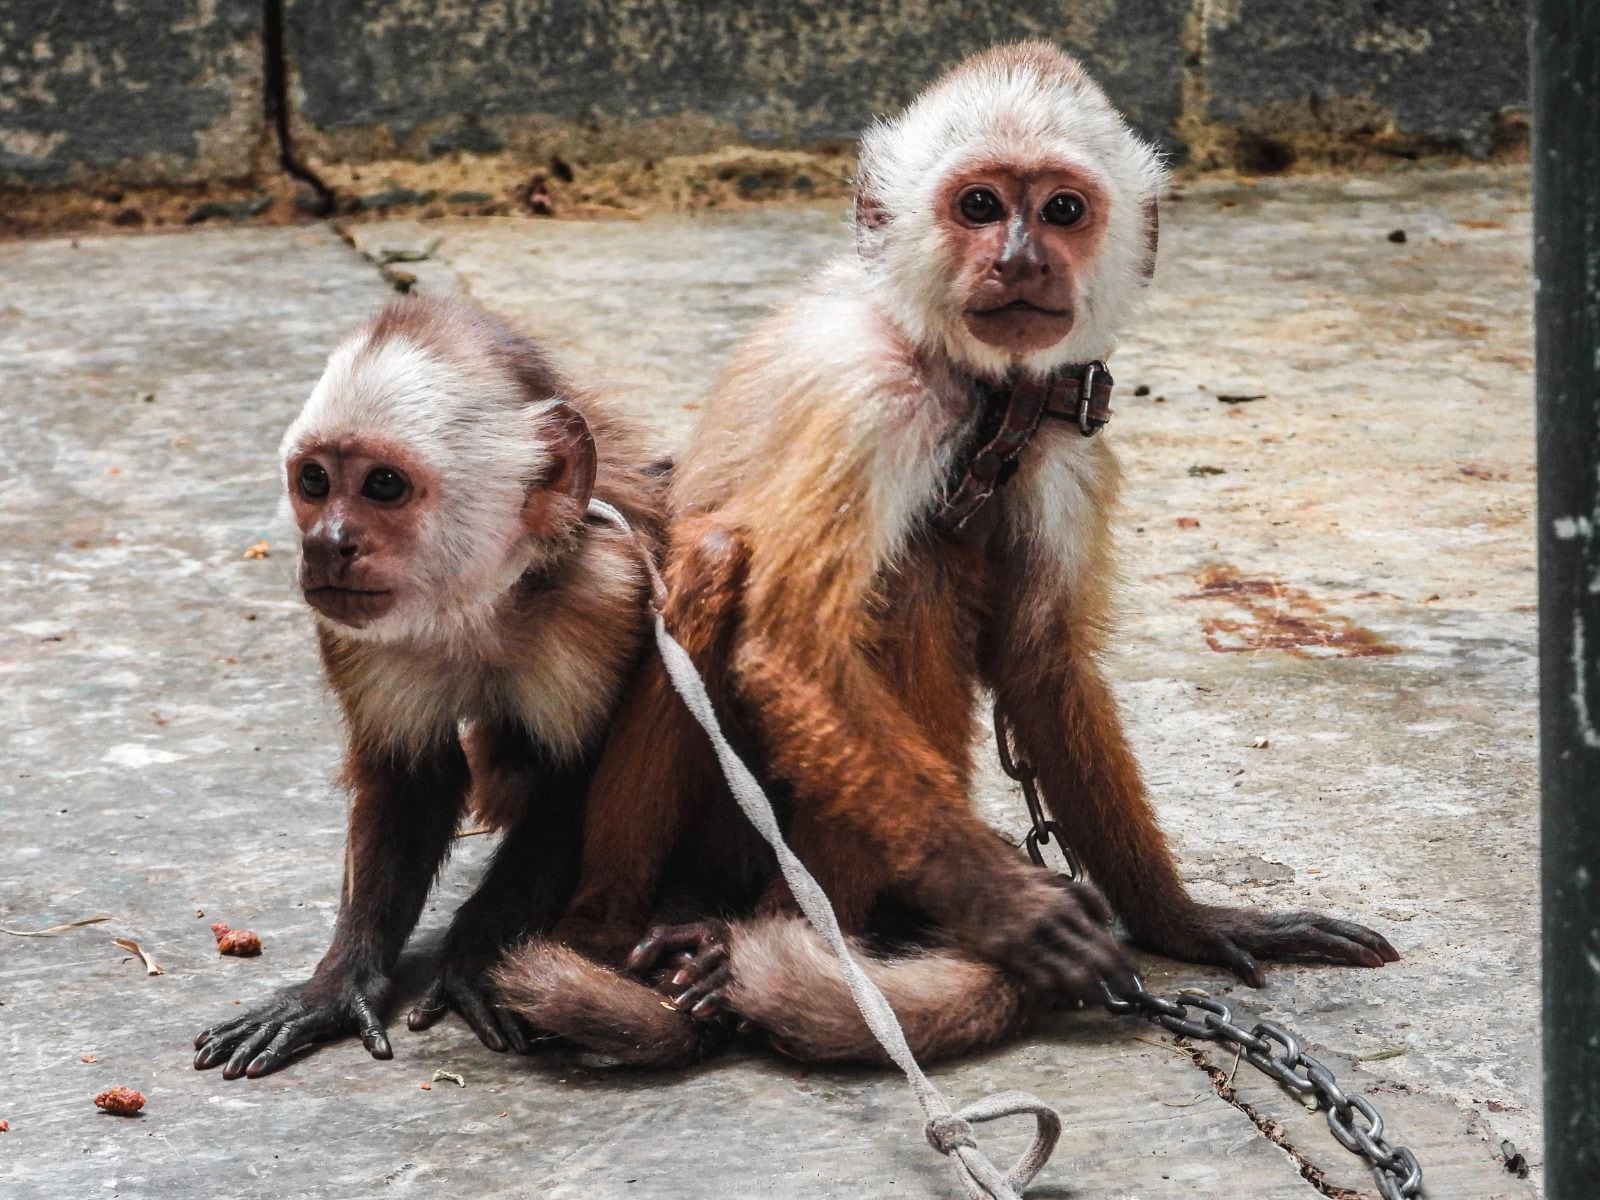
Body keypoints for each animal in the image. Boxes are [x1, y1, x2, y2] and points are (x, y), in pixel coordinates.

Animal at [193, 295, 666, 1079]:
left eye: (383, 484)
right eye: (315, 481)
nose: (327, 543)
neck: (477, 607)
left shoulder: (604, 593)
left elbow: (574, 781)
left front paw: (473, 960)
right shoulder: (349, 630)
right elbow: (410, 779)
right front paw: (337, 986)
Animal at [490, 42, 1398, 1069]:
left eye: (1062, 210)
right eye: (980, 206)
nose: (1020, 258)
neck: (979, 394)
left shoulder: (1066, 435)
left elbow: (1041, 665)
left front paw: (1182, 921)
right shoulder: (867, 399)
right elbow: (794, 654)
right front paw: (1015, 916)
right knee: (764, 560)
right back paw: (646, 927)